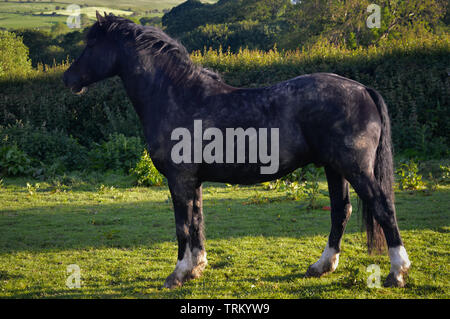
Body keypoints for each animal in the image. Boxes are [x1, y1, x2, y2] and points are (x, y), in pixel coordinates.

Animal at [63, 12, 412, 288]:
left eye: (91, 45)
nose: (68, 78)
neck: (178, 96)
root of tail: (363, 90)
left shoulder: (179, 180)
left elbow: (182, 226)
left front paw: (177, 274)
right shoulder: (193, 181)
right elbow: (197, 222)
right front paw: (196, 268)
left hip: (354, 168)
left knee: (383, 207)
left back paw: (397, 272)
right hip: (334, 167)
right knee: (341, 211)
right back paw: (321, 266)